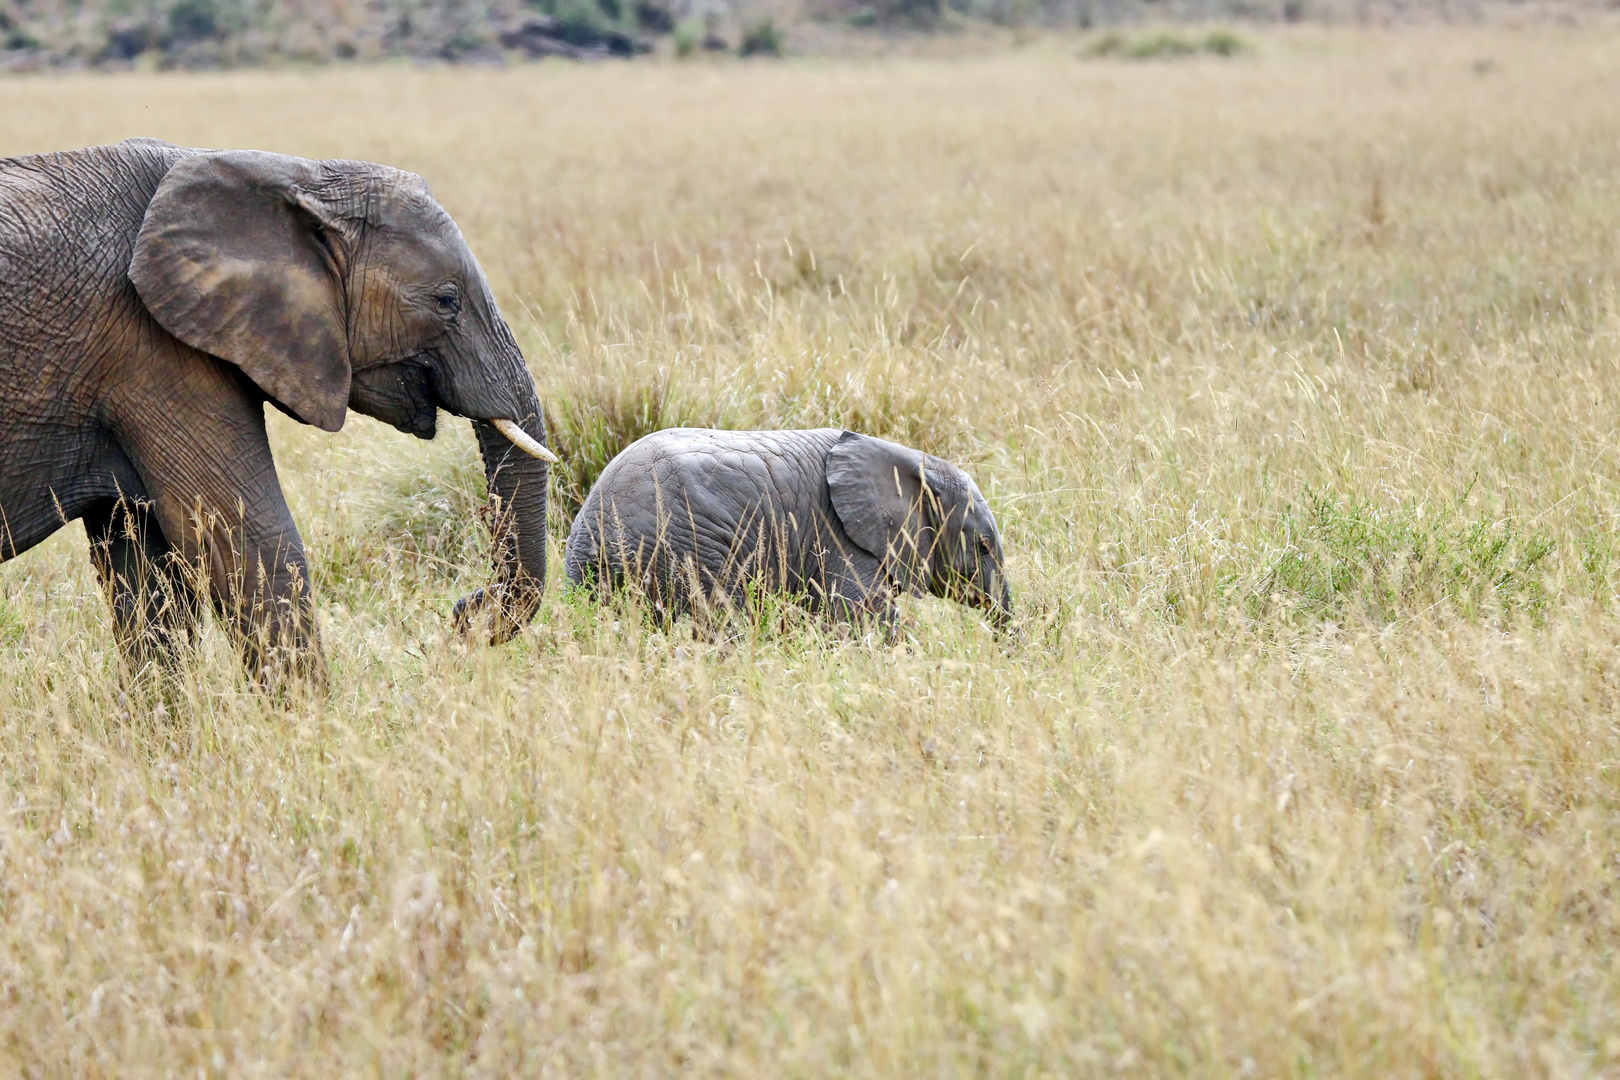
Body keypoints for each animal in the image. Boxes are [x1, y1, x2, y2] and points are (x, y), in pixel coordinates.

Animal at [0, 139, 557, 683]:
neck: (296, 175)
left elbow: (144, 566)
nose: (464, 613)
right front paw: (312, 715)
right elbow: (248, 538)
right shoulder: (153, 352)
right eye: (446, 301)